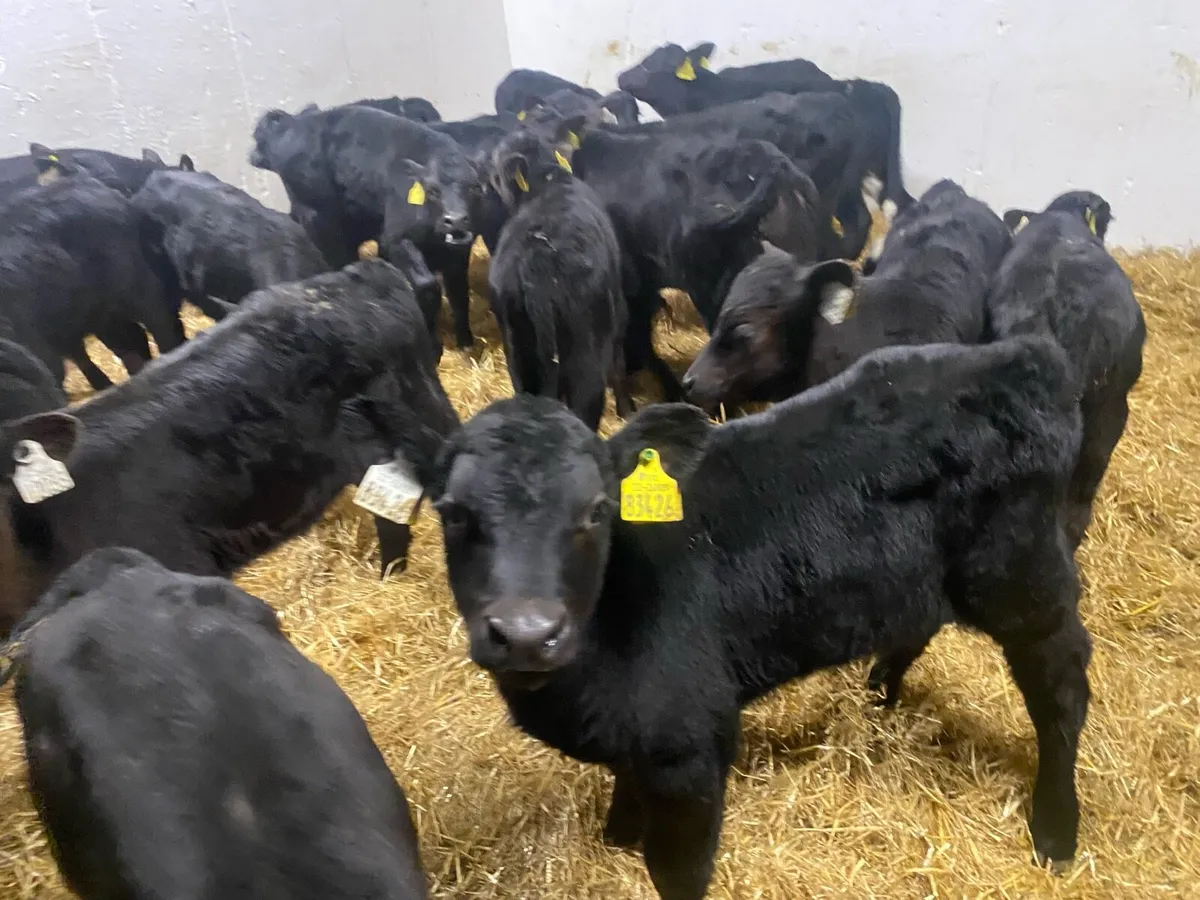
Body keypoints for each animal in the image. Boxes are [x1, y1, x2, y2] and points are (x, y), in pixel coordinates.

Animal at [250, 105, 482, 348]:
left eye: (474, 187)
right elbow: (427, 285)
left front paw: (466, 343)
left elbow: (459, 294)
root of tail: (292, 123)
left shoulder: (459, 252)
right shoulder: (396, 239)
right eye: (433, 190)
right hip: (319, 222)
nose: (455, 219)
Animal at [427, 336, 1089, 899]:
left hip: (1024, 581)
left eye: (596, 511)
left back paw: (1056, 831)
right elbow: (625, 788)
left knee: (1062, 686)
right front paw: (617, 837)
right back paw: (876, 698)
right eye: (453, 512)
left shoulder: (691, 743)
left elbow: (678, 871)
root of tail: (1018, 355)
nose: (526, 635)